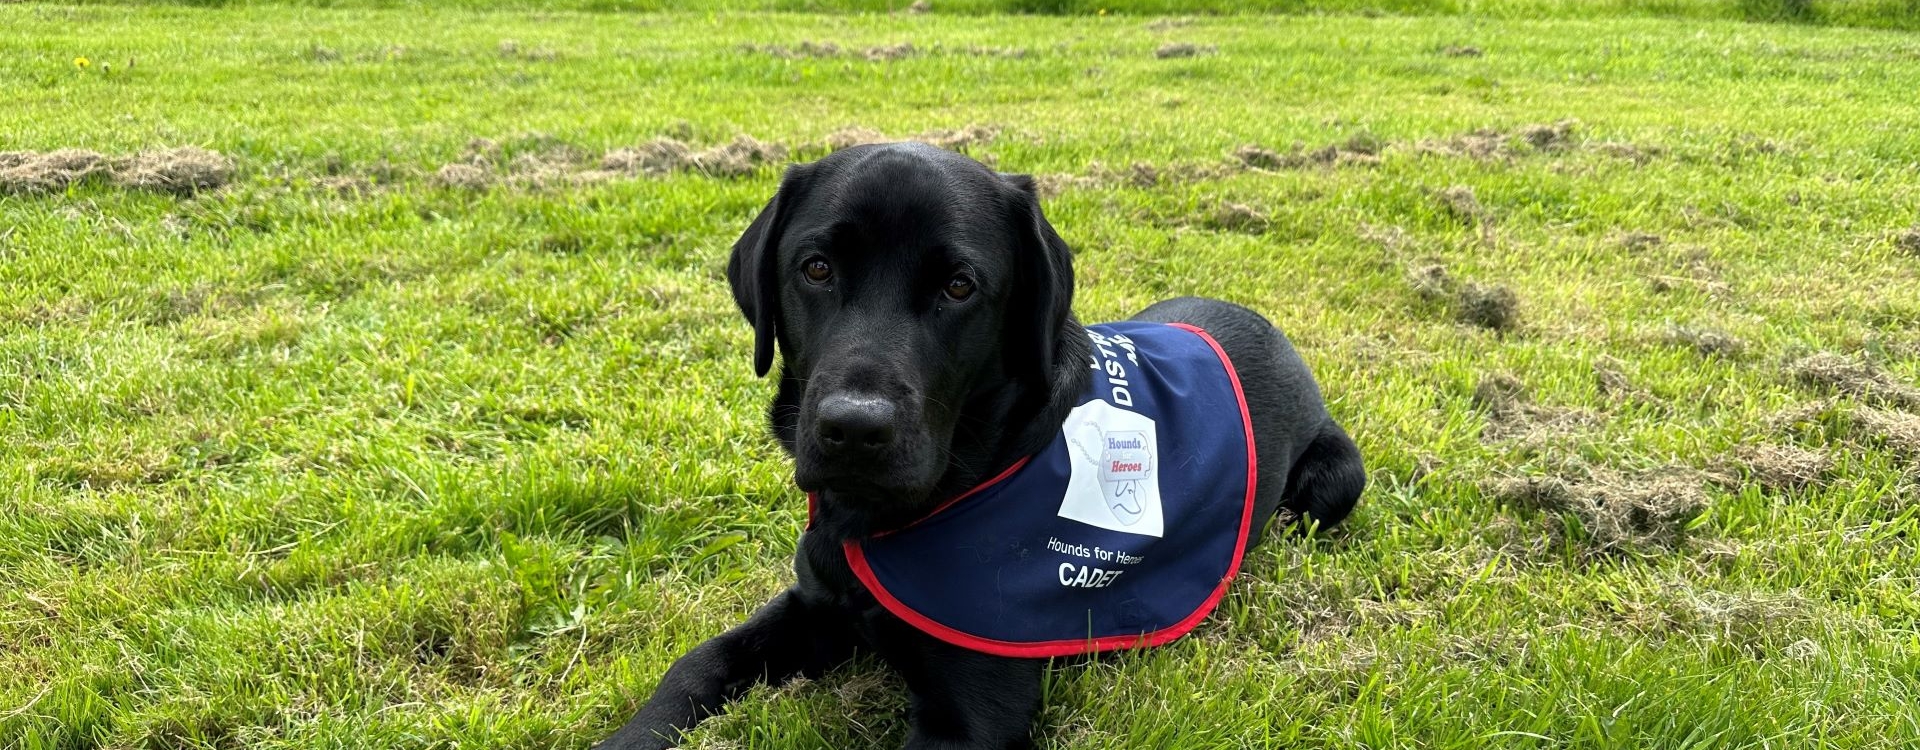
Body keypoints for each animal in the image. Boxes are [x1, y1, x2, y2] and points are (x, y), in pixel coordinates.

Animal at [599, 143, 1367, 748]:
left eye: (960, 286)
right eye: (816, 268)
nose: (855, 428)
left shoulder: (970, 716)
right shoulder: (813, 607)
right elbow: (695, 664)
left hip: (1340, 476)